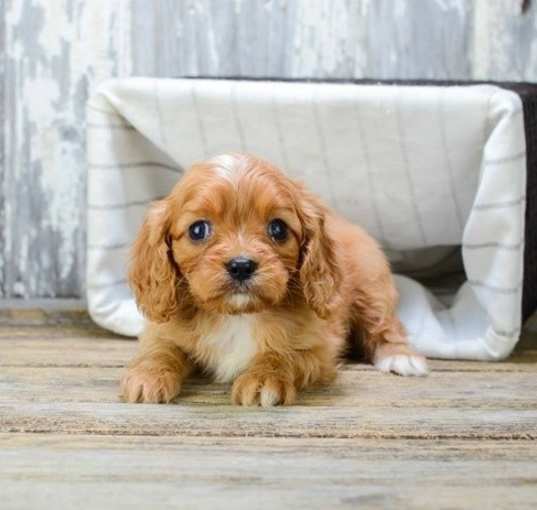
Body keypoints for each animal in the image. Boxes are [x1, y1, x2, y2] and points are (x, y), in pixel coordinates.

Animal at [120, 152, 428, 406]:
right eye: (198, 230)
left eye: (277, 228)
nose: (241, 265)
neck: (238, 316)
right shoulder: (164, 330)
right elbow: (160, 349)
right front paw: (148, 376)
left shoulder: (319, 348)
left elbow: (284, 355)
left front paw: (263, 379)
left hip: (371, 289)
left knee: (384, 325)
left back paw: (401, 357)